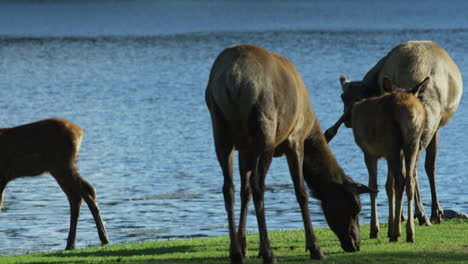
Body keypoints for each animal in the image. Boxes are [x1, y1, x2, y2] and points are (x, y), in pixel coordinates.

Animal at [0, 118, 109, 251]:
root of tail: (79, 131)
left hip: (61, 165)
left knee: (84, 192)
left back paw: (103, 239)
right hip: (59, 168)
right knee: (80, 194)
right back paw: (71, 244)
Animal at [207, 44, 372, 262]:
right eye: (356, 206)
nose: (356, 243)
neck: (311, 127)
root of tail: (234, 79)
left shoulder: (246, 148)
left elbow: (245, 191)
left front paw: (244, 247)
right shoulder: (295, 139)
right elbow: (301, 191)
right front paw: (315, 248)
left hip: (220, 128)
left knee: (229, 188)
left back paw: (235, 253)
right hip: (265, 129)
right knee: (259, 186)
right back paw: (269, 253)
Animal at [324, 40, 462, 225]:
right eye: (342, 98)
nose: (348, 120)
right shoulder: (437, 126)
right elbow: (430, 166)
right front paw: (436, 212)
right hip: (427, 122)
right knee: (412, 167)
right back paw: (421, 214)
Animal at [352, 77, 432, 242]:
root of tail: (410, 113)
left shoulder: (369, 152)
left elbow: (373, 186)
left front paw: (375, 230)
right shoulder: (391, 154)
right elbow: (390, 187)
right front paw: (389, 227)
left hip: (392, 141)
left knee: (401, 180)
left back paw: (397, 233)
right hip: (412, 143)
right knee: (410, 180)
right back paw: (409, 232)